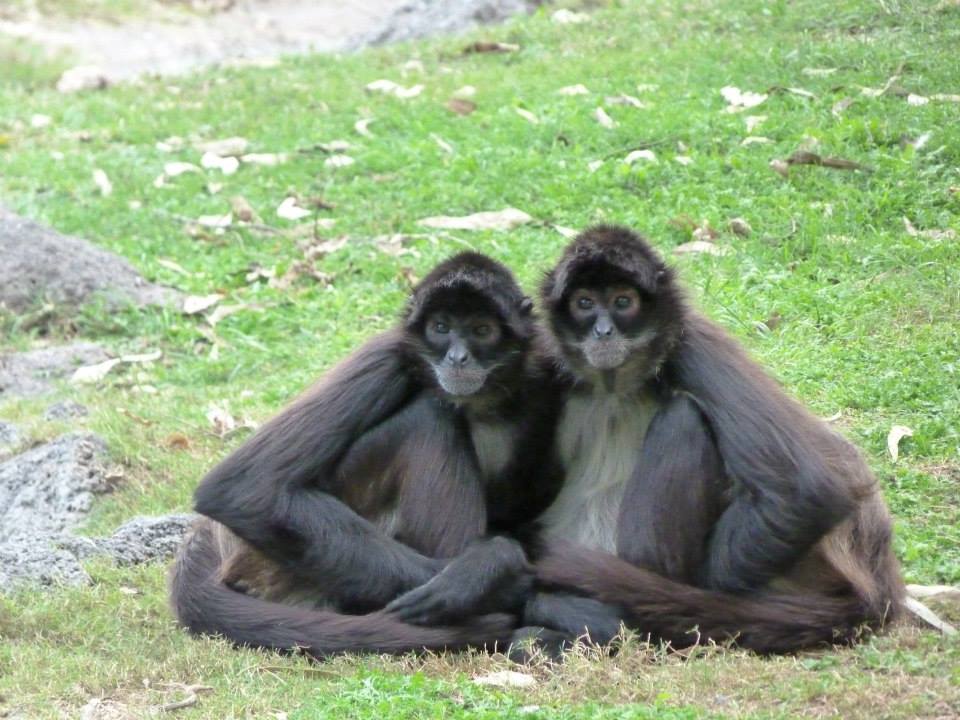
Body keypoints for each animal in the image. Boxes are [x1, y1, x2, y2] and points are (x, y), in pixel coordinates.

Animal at [171, 253, 564, 660]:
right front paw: (492, 577)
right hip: (275, 564)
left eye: (482, 330)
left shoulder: (542, 368)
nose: (458, 357)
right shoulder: (387, 355)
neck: (475, 402)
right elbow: (244, 488)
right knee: (430, 415)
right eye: (441, 328)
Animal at [524, 228, 908, 656]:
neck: (614, 389)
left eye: (624, 302)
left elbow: (809, 489)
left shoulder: (692, 343)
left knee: (684, 418)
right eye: (584, 304)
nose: (603, 332)